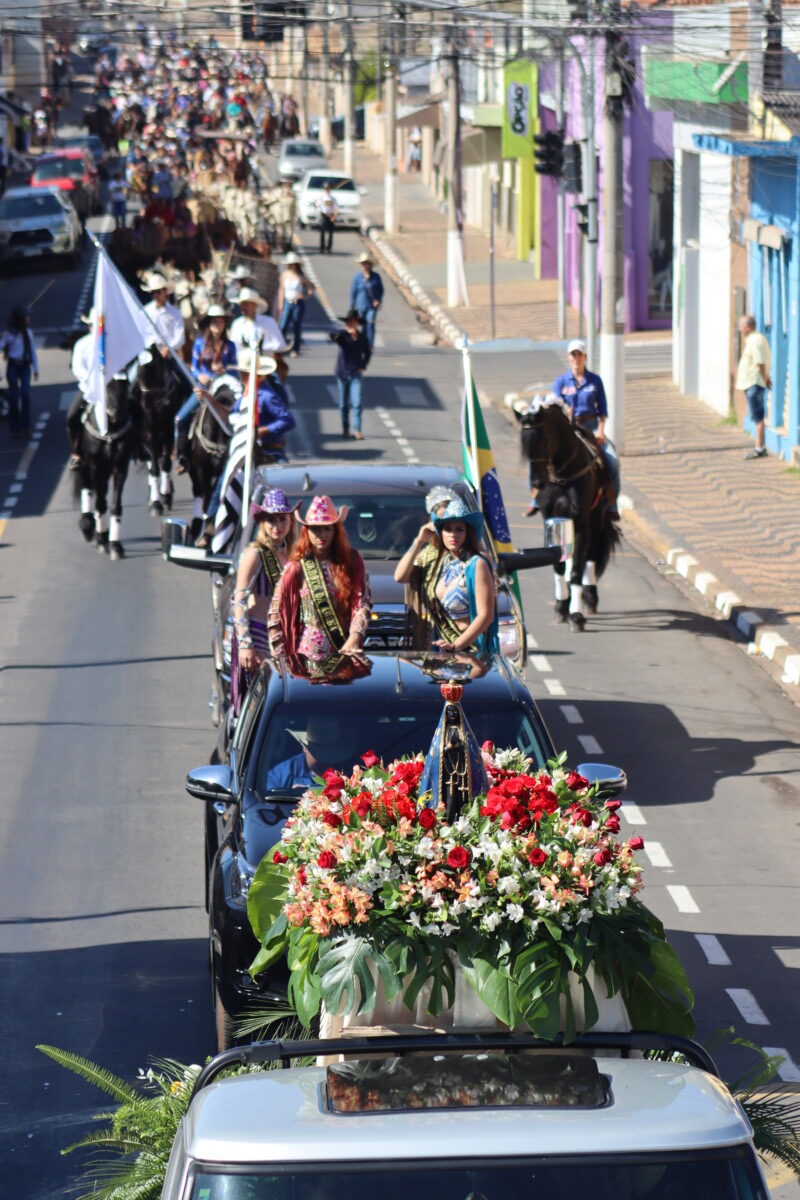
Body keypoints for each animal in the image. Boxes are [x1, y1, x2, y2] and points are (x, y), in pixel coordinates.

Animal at [73, 376, 139, 561]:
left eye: (126, 383)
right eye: (107, 386)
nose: (119, 414)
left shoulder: (120, 467)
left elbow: (116, 505)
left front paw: (115, 546)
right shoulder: (94, 465)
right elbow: (100, 503)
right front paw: (102, 541)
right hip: (86, 465)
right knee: (87, 487)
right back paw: (88, 526)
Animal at [131, 348, 189, 516]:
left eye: (153, 369)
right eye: (139, 373)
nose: (145, 406)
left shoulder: (168, 433)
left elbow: (165, 463)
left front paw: (165, 496)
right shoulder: (148, 436)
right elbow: (155, 468)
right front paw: (156, 503)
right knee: (151, 462)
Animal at [514, 395, 621, 630]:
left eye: (543, 439)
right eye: (523, 443)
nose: (537, 483)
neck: (562, 475)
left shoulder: (581, 523)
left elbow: (576, 570)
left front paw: (576, 615)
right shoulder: (551, 521)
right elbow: (558, 565)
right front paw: (561, 607)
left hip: (596, 518)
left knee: (590, 556)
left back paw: (589, 598)